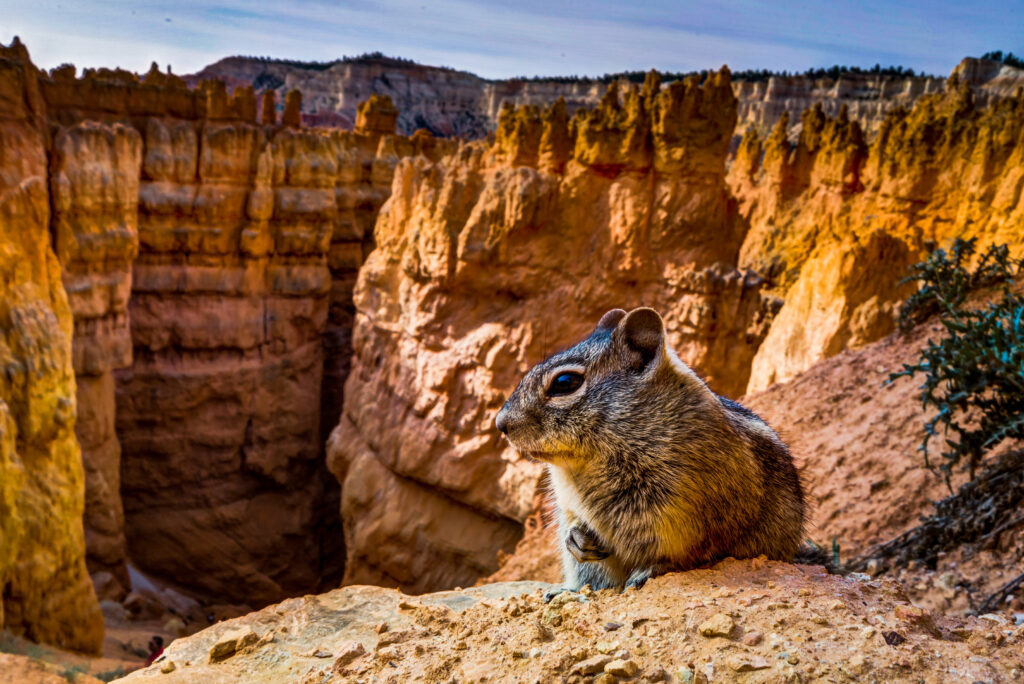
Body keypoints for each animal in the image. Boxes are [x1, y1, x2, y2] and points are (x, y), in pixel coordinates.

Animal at [495, 307, 815, 593]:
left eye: (564, 382)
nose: (501, 423)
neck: (588, 460)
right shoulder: (568, 502)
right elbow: (574, 525)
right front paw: (575, 539)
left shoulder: (687, 513)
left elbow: (687, 552)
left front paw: (651, 569)